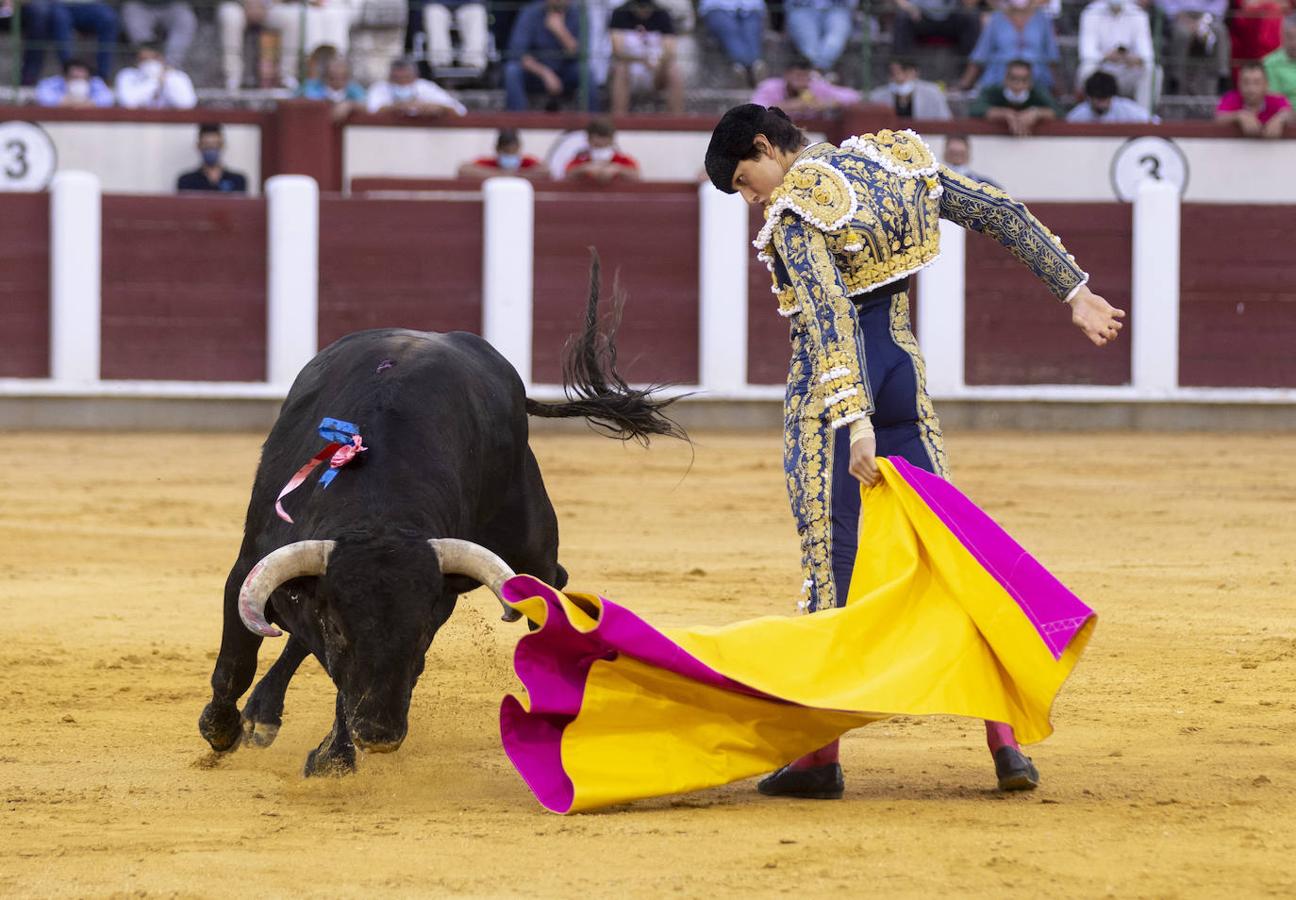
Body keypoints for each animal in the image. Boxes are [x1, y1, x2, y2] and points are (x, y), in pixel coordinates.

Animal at [196, 259, 684, 778]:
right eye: (340, 628)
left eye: (423, 632)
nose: (381, 735)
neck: (379, 510)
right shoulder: (249, 569)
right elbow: (236, 663)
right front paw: (220, 730)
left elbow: (346, 679)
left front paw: (333, 757)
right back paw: (261, 715)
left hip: (530, 541)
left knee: (553, 581)